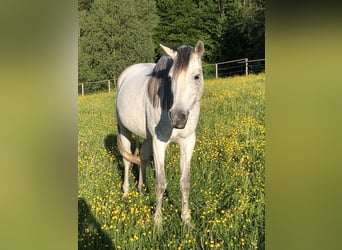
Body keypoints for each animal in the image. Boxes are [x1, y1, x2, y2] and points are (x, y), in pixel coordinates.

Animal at [116, 41, 204, 230]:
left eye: (197, 76)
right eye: (170, 78)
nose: (177, 117)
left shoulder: (188, 142)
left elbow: (185, 183)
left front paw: (187, 220)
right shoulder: (159, 143)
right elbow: (160, 183)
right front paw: (158, 223)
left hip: (147, 137)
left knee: (142, 157)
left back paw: (141, 190)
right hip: (124, 130)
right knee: (127, 161)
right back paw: (126, 193)